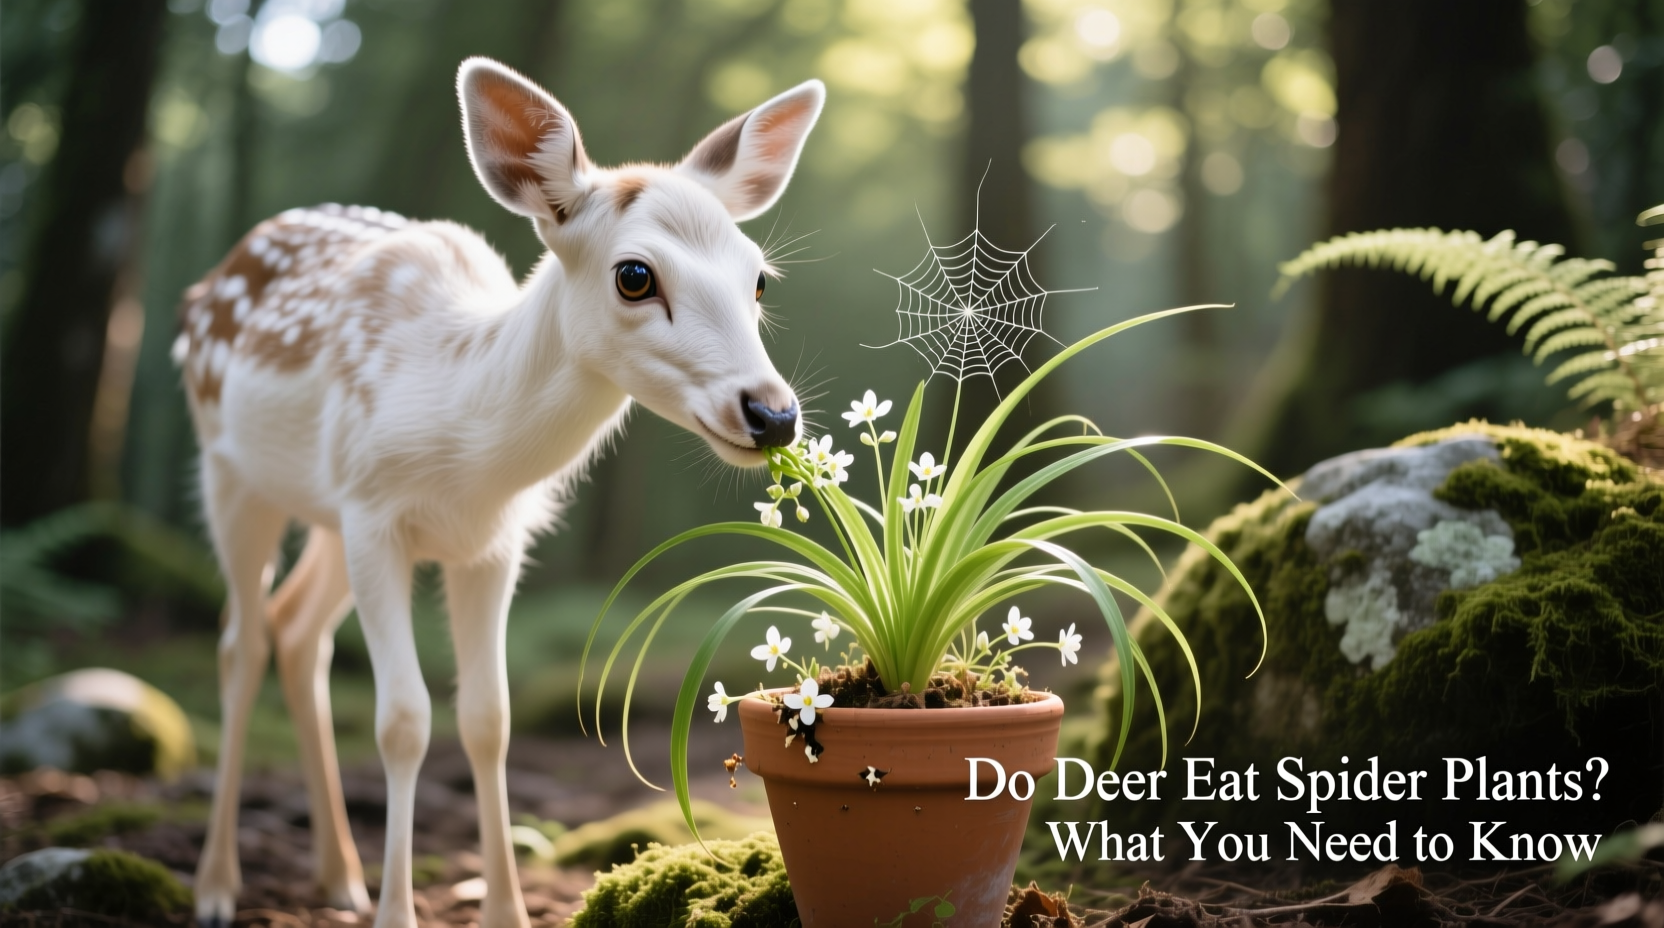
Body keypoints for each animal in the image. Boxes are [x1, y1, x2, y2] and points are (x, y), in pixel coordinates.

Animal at [175, 57, 823, 927]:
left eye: (758, 279)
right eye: (634, 275)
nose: (773, 414)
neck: (466, 445)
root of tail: (207, 283)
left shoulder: (489, 541)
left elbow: (489, 718)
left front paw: (505, 911)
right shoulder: (374, 516)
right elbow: (403, 720)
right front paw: (396, 915)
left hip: (325, 514)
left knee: (298, 630)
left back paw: (338, 878)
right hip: (231, 470)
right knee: (241, 640)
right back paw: (217, 886)